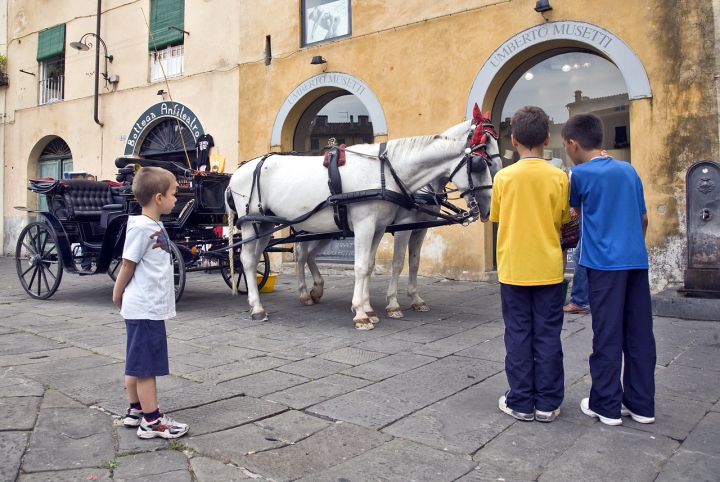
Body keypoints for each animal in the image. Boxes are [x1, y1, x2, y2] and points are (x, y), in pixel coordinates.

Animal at [228, 107, 498, 330]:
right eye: (479, 163)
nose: (488, 208)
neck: (387, 174)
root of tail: (238, 172)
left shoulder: (387, 228)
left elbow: (377, 265)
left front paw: (372, 309)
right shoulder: (379, 226)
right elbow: (374, 266)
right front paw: (367, 312)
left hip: (273, 224)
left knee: (298, 255)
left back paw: (306, 293)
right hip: (252, 224)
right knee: (249, 261)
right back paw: (258, 308)